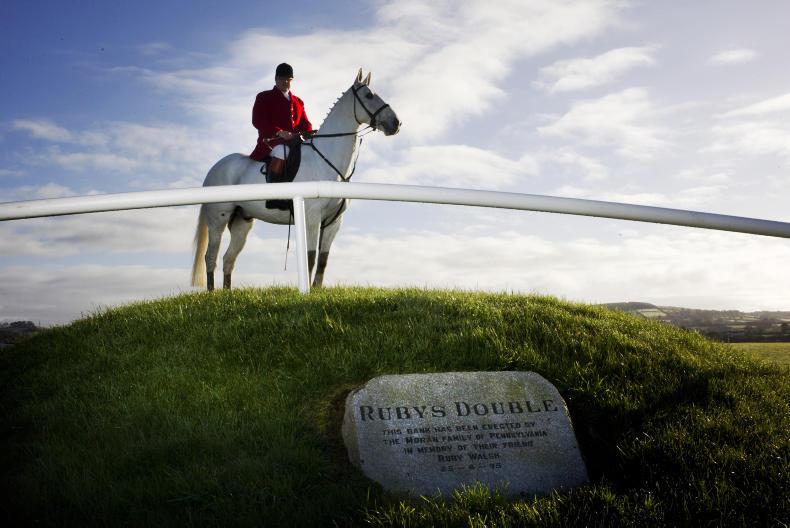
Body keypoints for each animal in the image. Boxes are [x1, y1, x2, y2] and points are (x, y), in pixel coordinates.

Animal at [191, 69, 400, 291]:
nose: (396, 123)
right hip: (218, 218)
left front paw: (316, 290)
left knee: (228, 259)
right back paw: (212, 293)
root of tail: (214, 168)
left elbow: (323, 260)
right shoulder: (313, 218)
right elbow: (311, 257)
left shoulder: (333, 223)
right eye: (369, 96)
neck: (325, 159)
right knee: (211, 257)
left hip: (242, 222)